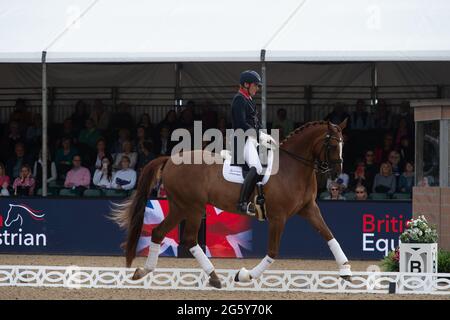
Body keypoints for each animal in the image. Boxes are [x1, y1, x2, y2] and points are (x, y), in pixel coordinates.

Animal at [111, 119, 352, 288]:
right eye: (332, 143)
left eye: (343, 144)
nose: (337, 173)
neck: (292, 167)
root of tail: (170, 159)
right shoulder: (278, 217)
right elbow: (273, 252)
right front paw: (245, 275)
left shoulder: (309, 209)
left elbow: (330, 236)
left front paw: (346, 271)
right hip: (193, 207)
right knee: (189, 239)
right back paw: (214, 277)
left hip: (180, 207)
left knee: (159, 232)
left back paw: (143, 271)